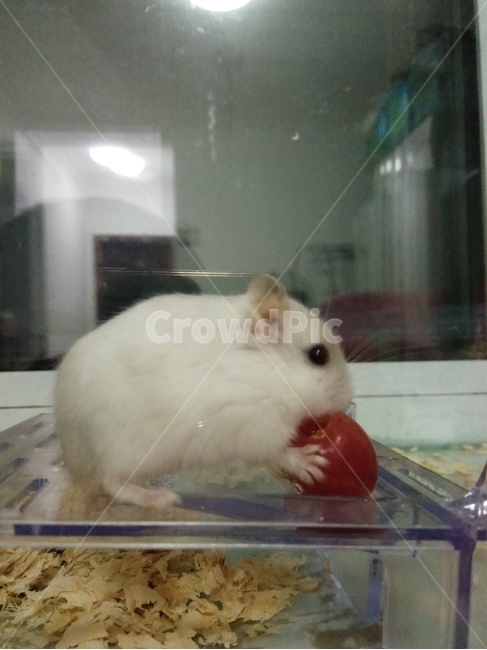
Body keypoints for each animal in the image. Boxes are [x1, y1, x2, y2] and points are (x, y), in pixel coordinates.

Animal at [54, 275, 352, 509]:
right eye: (318, 355)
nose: (348, 400)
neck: (265, 373)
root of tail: (70, 454)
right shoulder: (256, 427)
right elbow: (279, 452)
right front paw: (311, 464)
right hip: (127, 448)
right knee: (112, 483)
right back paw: (163, 499)